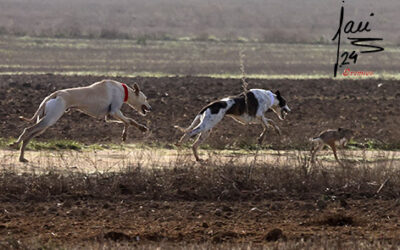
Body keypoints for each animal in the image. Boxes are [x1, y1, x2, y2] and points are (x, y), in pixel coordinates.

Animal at [11, 80, 152, 162]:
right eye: (146, 98)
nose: (150, 108)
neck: (123, 90)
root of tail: (56, 94)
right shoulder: (115, 111)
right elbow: (129, 121)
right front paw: (129, 133)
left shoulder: (108, 116)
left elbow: (127, 121)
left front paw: (137, 130)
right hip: (50, 119)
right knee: (27, 130)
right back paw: (16, 143)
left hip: (45, 123)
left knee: (29, 136)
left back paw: (22, 156)